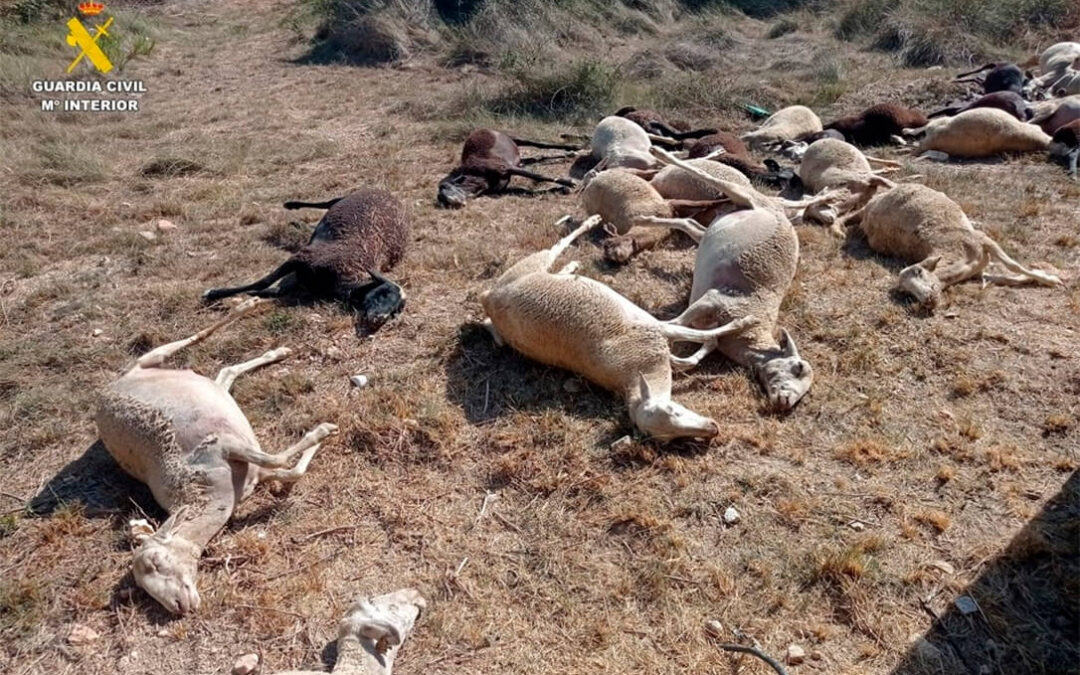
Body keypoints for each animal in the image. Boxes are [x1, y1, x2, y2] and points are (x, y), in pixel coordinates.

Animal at [203, 187, 408, 334]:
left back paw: (297, 223)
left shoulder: (301, 280)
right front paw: (213, 293)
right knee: (328, 202)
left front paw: (246, 296)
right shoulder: (300, 259)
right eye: (383, 294)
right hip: (345, 198)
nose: (379, 319)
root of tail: (388, 194)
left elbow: (274, 290)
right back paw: (291, 205)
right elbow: (264, 281)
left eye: (395, 311)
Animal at [434, 129, 578, 206]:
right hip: (518, 158)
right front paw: (561, 188)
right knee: (537, 158)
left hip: (515, 139)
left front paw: (569, 183)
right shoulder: (505, 185)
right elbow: (524, 190)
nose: (453, 202)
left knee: (539, 144)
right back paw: (569, 154)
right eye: (442, 200)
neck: (477, 176)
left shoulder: (505, 167)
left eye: (446, 188)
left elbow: (538, 176)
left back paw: (574, 148)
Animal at [481, 212, 760, 440]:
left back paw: (577, 252)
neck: (636, 369)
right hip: (527, 270)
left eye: (674, 410)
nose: (713, 429)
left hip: (530, 267)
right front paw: (742, 324)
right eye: (668, 437)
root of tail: (489, 298)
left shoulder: (654, 329)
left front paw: (731, 329)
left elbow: (686, 348)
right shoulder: (653, 331)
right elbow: (691, 337)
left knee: (557, 247)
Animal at [829, 181, 1058, 308]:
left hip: (874, 203)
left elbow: (1013, 268)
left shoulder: (983, 241)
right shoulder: (978, 262)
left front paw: (1050, 280)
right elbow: (1007, 275)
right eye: (906, 293)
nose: (928, 300)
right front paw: (1046, 278)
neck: (963, 261)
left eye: (919, 272)